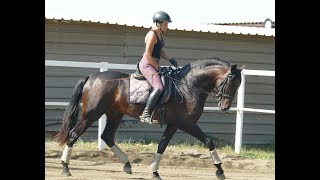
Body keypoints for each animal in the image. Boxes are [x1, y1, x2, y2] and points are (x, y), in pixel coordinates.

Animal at [56, 57, 244, 179]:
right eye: (230, 82)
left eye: (238, 85)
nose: (225, 107)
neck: (187, 86)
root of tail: (91, 78)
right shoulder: (186, 123)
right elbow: (208, 141)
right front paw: (219, 170)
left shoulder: (174, 125)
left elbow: (162, 146)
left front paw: (154, 171)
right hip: (92, 114)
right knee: (73, 135)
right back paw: (65, 167)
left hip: (115, 114)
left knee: (107, 136)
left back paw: (127, 164)